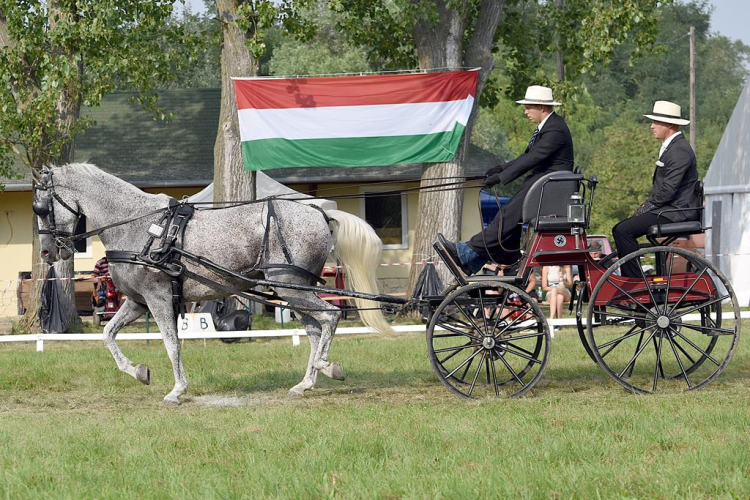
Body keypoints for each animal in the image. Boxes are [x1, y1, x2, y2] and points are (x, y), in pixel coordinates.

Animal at [32, 162, 390, 404]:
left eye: (42, 207)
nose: (48, 251)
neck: (139, 227)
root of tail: (319, 212)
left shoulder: (158, 298)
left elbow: (171, 343)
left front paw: (177, 390)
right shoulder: (137, 301)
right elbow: (108, 333)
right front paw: (138, 372)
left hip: (290, 286)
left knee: (329, 317)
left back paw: (326, 367)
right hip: (292, 290)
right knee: (315, 328)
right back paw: (306, 383)